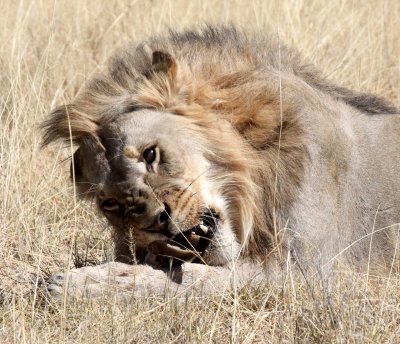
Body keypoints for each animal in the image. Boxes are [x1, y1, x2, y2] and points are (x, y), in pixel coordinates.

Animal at [41, 25, 400, 296]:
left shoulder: (317, 272)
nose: (154, 221)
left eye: (150, 154)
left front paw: (79, 284)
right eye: (110, 204)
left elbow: (194, 281)